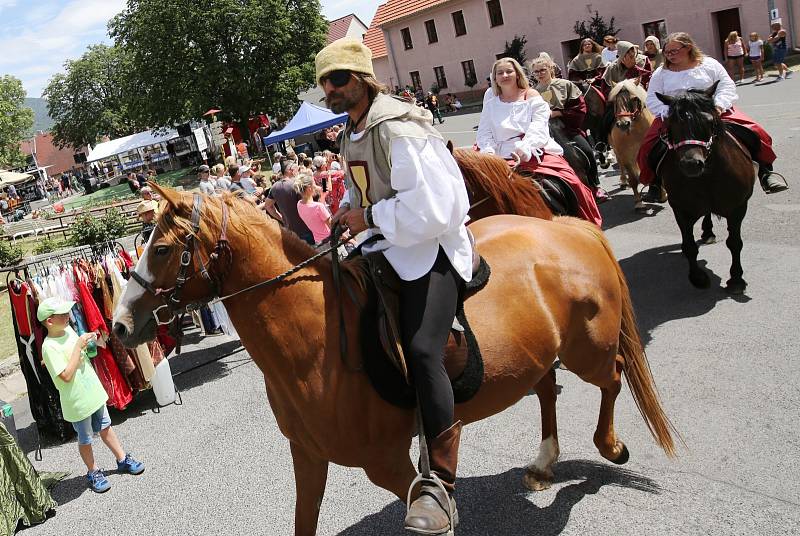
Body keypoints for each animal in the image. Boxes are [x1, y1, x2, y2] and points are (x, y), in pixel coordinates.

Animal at [111, 185, 676, 536]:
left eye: (161, 250)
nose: (118, 326)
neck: (314, 342)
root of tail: (567, 227)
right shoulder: (308, 458)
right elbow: (303, 520)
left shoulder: (388, 464)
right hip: (540, 352)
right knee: (545, 389)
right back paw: (543, 463)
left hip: (589, 350)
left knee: (612, 379)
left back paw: (610, 445)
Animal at [608, 80, 652, 210]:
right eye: (615, 101)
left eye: (634, 99)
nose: (623, 124)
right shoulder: (625, 155)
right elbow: (633, 179)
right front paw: (638, 202)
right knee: (621, 165)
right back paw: (623, 181)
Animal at [656, 81, 756, 296]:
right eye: (671, 124)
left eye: (709, 121)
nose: (691, 164)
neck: (707, 178)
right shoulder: (680, 209)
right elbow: (689, 246)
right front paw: (698, 278)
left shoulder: (738, 207)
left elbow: (734, 243)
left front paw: (736, 280)